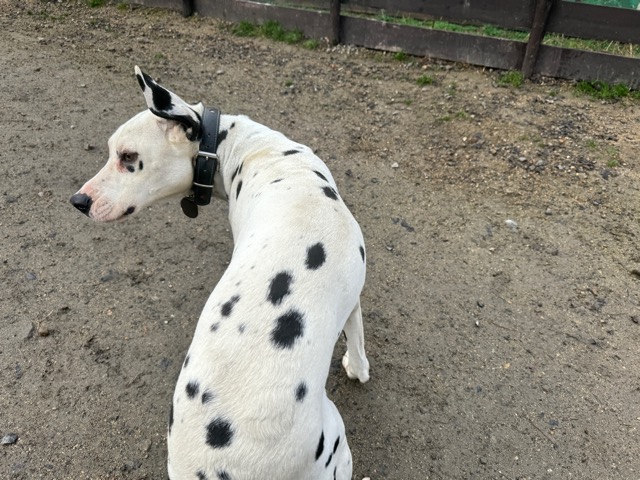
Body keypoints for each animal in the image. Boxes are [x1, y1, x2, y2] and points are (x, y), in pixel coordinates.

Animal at [70, 67, 370, 480]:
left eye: (128, 156)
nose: (78, 201)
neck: (254, 153)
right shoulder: (352, 296)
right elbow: (356, 335)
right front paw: (358, 367)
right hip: (336, 440)